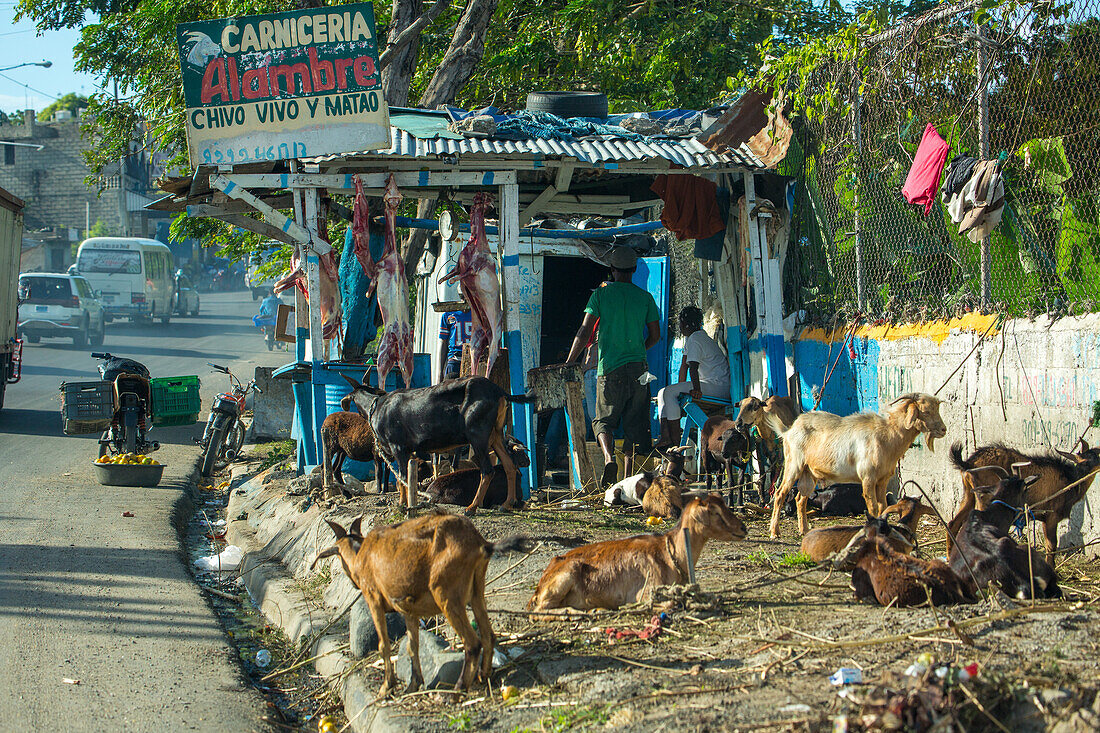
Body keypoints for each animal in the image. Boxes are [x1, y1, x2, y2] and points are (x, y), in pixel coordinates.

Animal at [312, 508, 530, 695]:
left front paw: (386, 688)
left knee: (472, 642)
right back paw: (483, 677)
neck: (361, 554)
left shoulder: (373, 599)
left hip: (447, 595)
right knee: (488, 635)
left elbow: (384, 644)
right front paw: (413, 685)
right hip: (477, 592)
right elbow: (412, 645)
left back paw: (458, 689)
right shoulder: (408, 610)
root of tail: (480, 544)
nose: (353, 583)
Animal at [525, 490, 748, 611]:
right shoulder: (646, 591)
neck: (670, 553)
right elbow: (669, 604)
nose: (743, 528)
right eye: (714, 512)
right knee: (542, 610)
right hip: (565, 577)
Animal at [774, 394, 946, 537]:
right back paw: (775, 533)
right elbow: (873, 507)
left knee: (800, 499)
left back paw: (804, 530)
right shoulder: (868, 477)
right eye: (926, 411)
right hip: (793, 465)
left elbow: (883, 506)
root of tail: (789, 430)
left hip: (809, 472)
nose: (943, 429)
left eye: (937, 409)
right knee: (780, 494)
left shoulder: (882, 480)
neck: (888, 434)